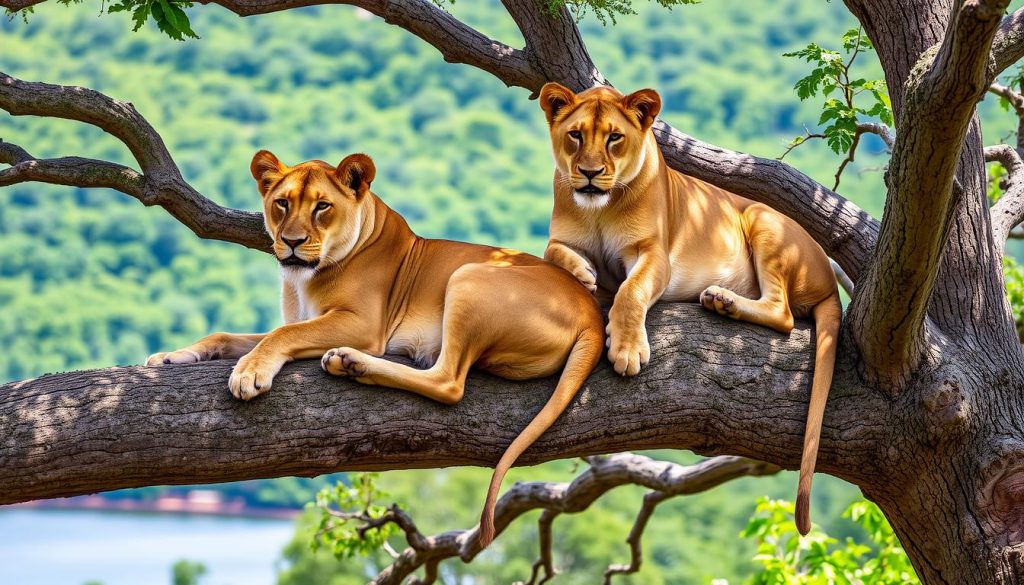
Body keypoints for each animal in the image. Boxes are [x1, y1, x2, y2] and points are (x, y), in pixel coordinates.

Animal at [147, 150, 605, 547]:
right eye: (281, 203)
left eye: (322, 207)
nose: (291, 242)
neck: (303, 279)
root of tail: (591, 313)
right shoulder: (300, 318)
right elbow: (228, 336)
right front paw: (168, 357)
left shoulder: (362, 323)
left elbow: (280, 337)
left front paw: (249, 372)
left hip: (469, 276)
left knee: (448, 381)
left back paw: (350, 363)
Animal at [537, 83, 842, 535]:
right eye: (575, 135)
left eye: (614, 138)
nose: (590, 173)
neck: (599, 210)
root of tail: (830, 281)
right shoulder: (562, 238)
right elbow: (554, 253)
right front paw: (583, 273)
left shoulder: (654, 255)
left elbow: (630, 293)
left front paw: (627, 351)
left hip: (760, 215)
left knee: (783, 312)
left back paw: (722, 300)